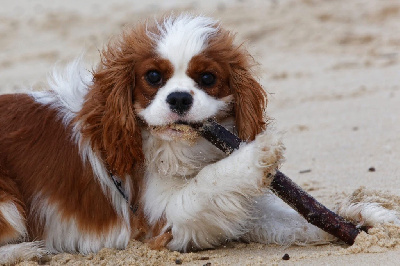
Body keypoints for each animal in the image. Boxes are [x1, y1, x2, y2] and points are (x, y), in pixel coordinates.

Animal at [0, 13, 400, 262]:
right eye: (153, 77)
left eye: (207, 79)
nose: (179, 98)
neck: (174, 145)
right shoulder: (158, 222)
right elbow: (207, 182)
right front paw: (257, 153)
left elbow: (294, 217)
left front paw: (368, 217)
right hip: (8, 199)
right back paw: (27, 251)